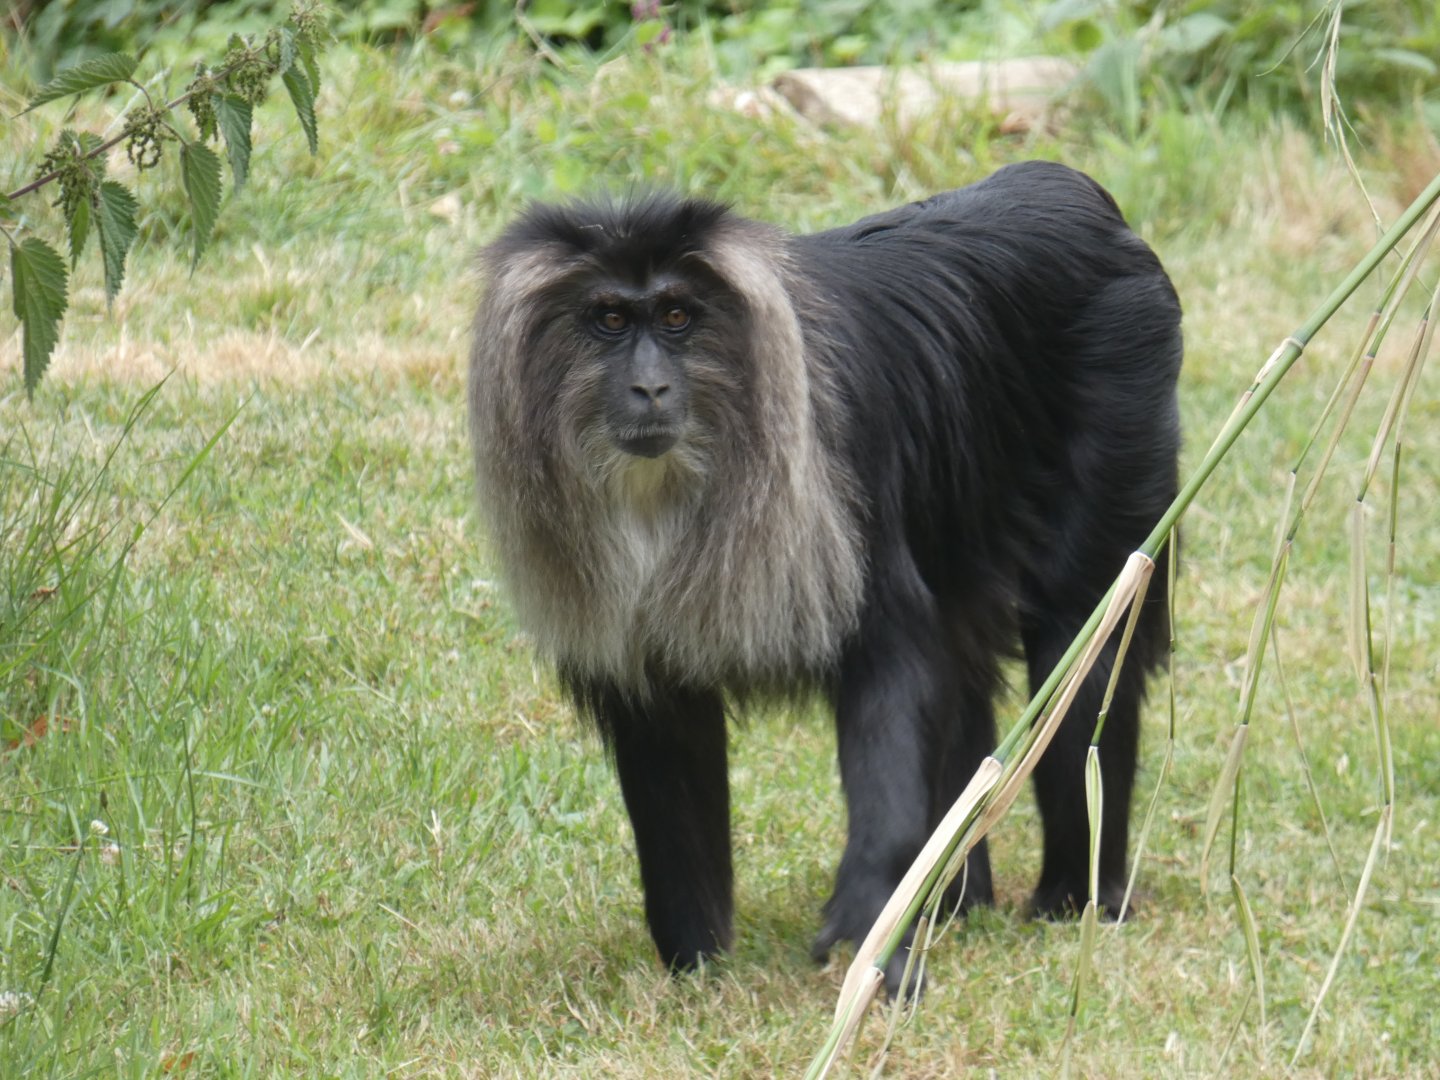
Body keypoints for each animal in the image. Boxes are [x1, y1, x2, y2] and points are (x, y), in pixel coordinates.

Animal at [468, 160, 1182, 996]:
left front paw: (871, 927)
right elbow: (668, 753)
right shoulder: (642, 652)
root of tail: (1069, 188)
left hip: (1125, 394)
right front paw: (696, 970)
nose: (649, 389)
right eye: (609, 320)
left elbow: (899, 669)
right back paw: (955, 903)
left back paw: (1075, 899)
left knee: (1086, 646)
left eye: (676, 316)